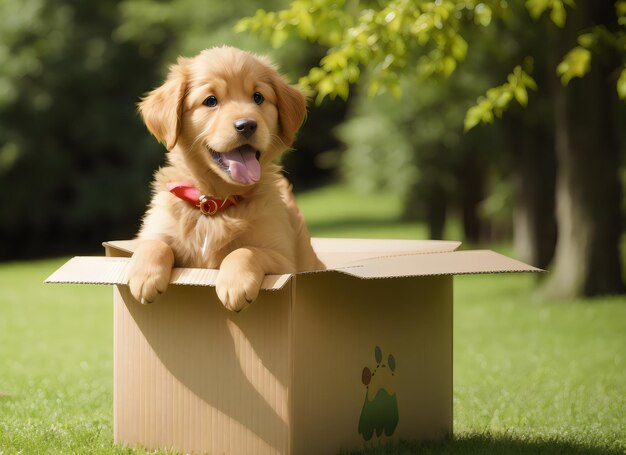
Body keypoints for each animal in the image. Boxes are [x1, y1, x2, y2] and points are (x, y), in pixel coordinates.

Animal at [125, 46, 324, 312]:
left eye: (258, 97)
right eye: (210, 101)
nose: (247, 125)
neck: (214, 205)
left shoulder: (285, 262)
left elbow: (245, 251)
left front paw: (234, 285)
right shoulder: (153, 232)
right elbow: (152, 244)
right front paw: (144, 276)